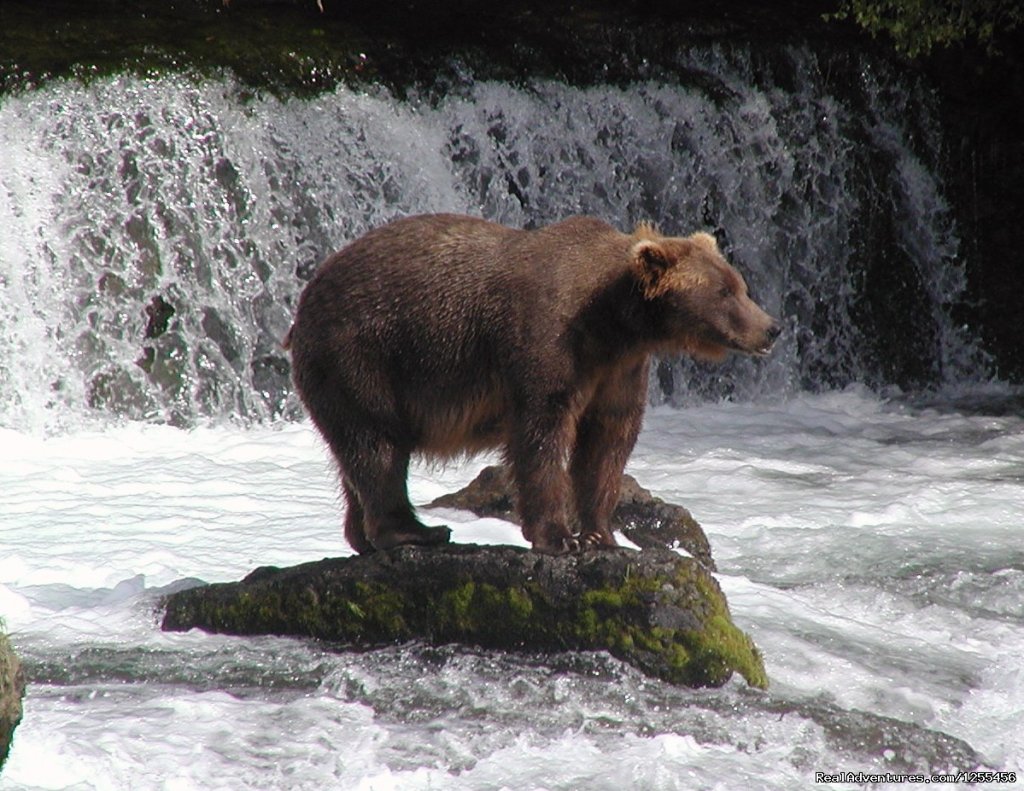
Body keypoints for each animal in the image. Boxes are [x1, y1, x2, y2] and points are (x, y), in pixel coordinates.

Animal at [284, 213, 778, 553]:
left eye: (740, 285)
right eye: (724, 292)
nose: (771, 329)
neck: (614, 322)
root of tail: (302, 305)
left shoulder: (620, 370)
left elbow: (608, 443)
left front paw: (600, 533)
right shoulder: (547, 343)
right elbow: (542, 435)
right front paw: (559, 536)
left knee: (354, 455)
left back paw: (363, 536)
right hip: (360, 357)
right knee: (378, 446)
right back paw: (416, 531)